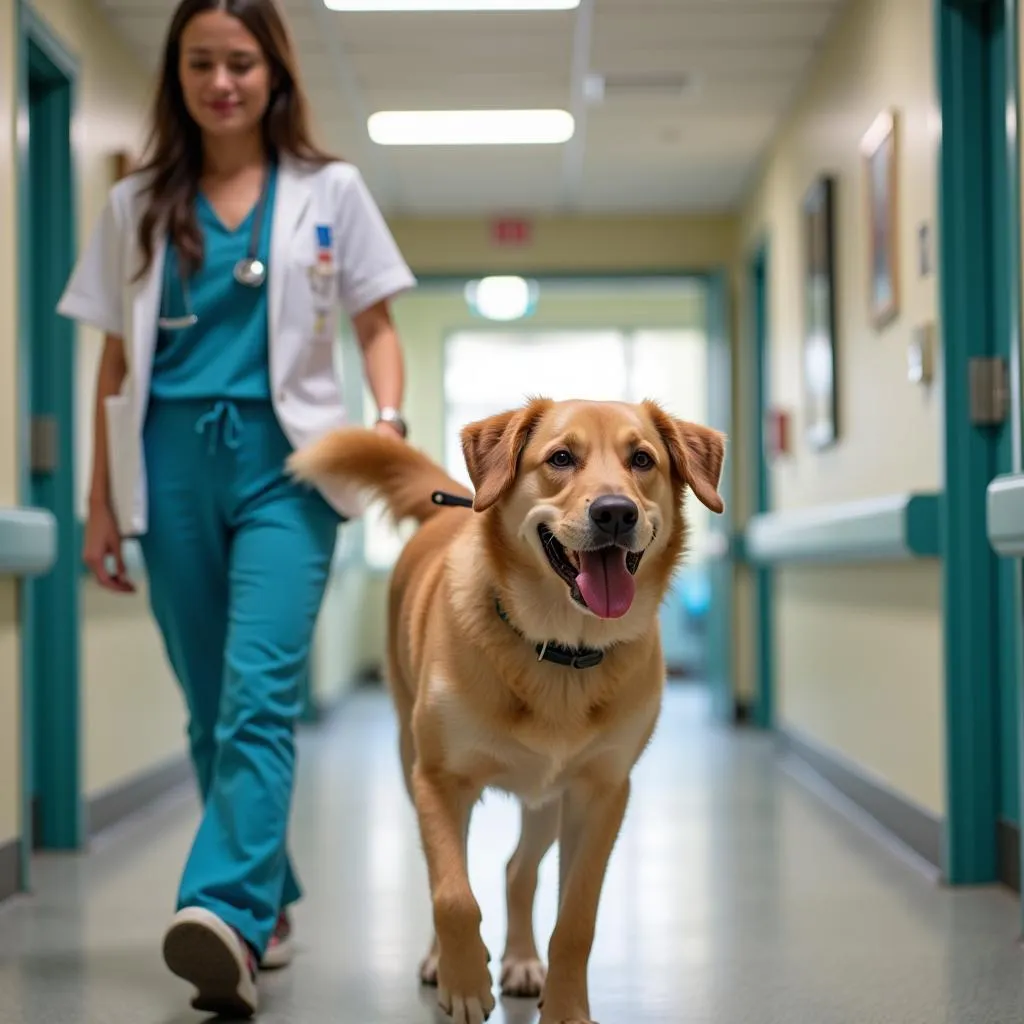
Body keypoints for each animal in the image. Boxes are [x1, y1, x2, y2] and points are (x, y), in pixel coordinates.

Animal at [288, 397, 729, 1024]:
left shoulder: (602, 793)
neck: (560, 650)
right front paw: (465, 981)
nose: (615, 513)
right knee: (450, 870)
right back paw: (441, 959)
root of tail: (454, 504)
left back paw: (521, 959)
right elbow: (451, 893)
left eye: (642, 459)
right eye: (561, 458)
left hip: (546, 799)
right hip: (412, 762)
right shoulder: (439, 780)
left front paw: (566, 1006)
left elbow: (577, 918)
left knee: (517, 871)